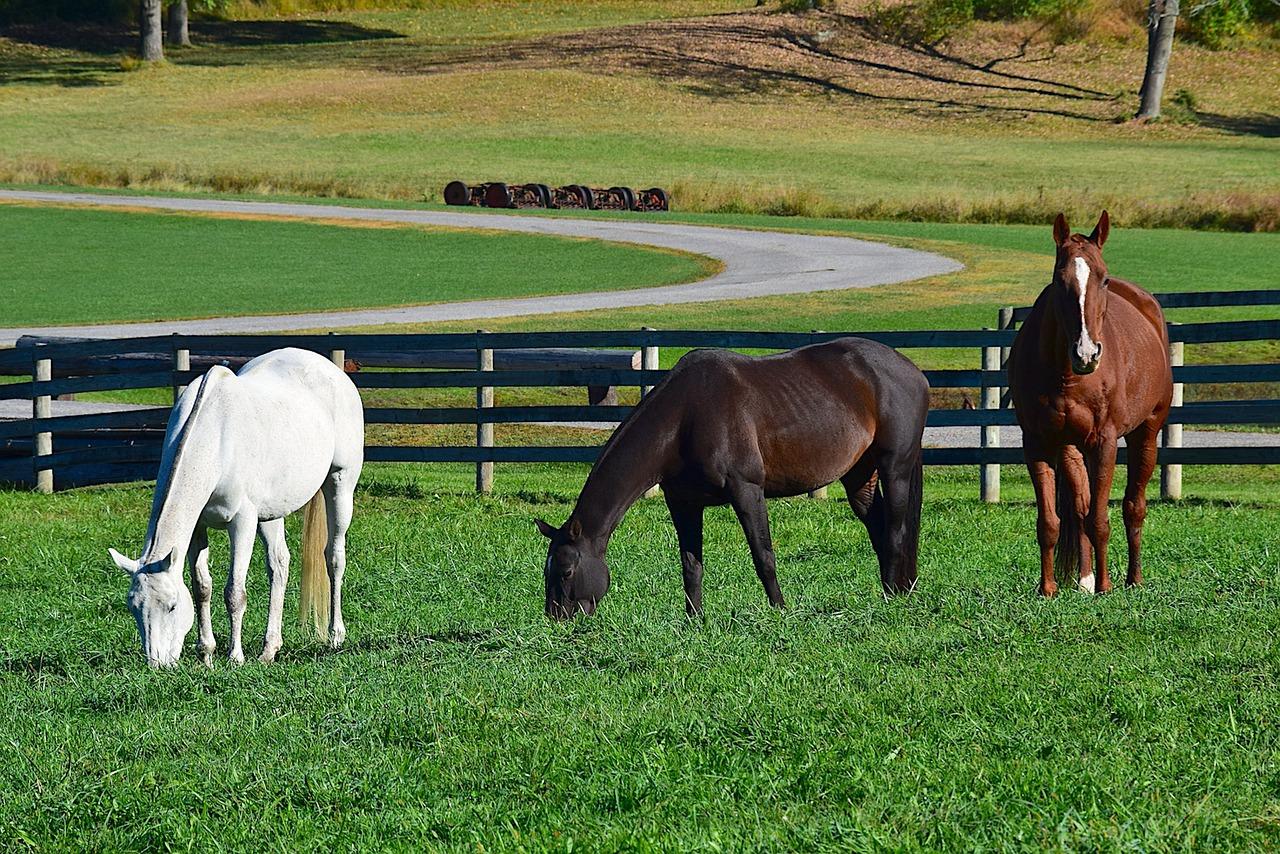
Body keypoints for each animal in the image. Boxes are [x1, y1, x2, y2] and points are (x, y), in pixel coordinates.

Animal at [107, 348, 363, 665]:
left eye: (172, 606)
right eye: (133, 608)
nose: (159, 664)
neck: (216, 439)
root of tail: (331, 369)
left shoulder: (242, 523)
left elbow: (234, 593)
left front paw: (235, 657)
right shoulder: (198, 527)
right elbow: (202, 587)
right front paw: (206, 654)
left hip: (340, 484)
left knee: (334, 558)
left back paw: (335, 636)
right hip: (270, 513)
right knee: (279, 565)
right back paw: (269, 649)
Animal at [535, 335, 926, 622]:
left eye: (566, 571)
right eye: (546, 571)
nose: (557, 620)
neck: (684, 418)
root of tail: (912, 371)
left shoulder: (746, 490)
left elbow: (763, 556)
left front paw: (779, 611)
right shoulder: (683, 503)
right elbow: (690, 565)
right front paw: (694, 621)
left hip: (895, 467)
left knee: (895, 530)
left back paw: (893, 598)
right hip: (859, 474)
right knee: (877, 528)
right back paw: (893, 590)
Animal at [1003, 212, 1172, 599]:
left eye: (1103, 278)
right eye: (1058, 279)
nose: (1087, 353)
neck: (1066, 374)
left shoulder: (1105, 442)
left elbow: (1100, 519)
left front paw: (1106, 587)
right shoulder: (1038, 443)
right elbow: (1051, 521)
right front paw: (1047, 588)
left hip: (1146, 433)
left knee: (1133, 506)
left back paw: (1132, 579)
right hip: (1071, 448)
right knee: (1080, 506)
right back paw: (1084, 579)